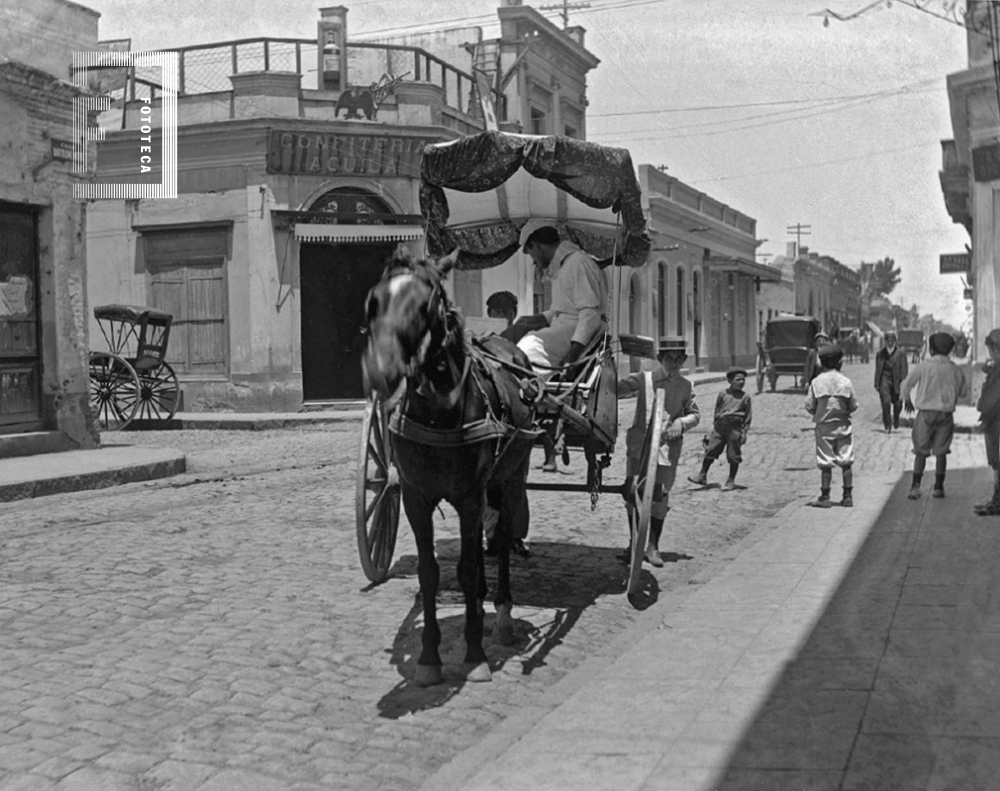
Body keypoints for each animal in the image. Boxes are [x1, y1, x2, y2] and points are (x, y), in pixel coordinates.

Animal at [364, 246, 540, 688]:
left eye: (424, 305)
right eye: (373, 301)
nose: (380, 370)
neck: (439, 412)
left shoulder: (470, 496)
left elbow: (466, 569)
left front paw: (475, 655)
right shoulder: (416, 497)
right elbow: (430, 572)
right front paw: (429, 657)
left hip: (510, 478)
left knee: (503, 537)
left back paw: (503, 615)